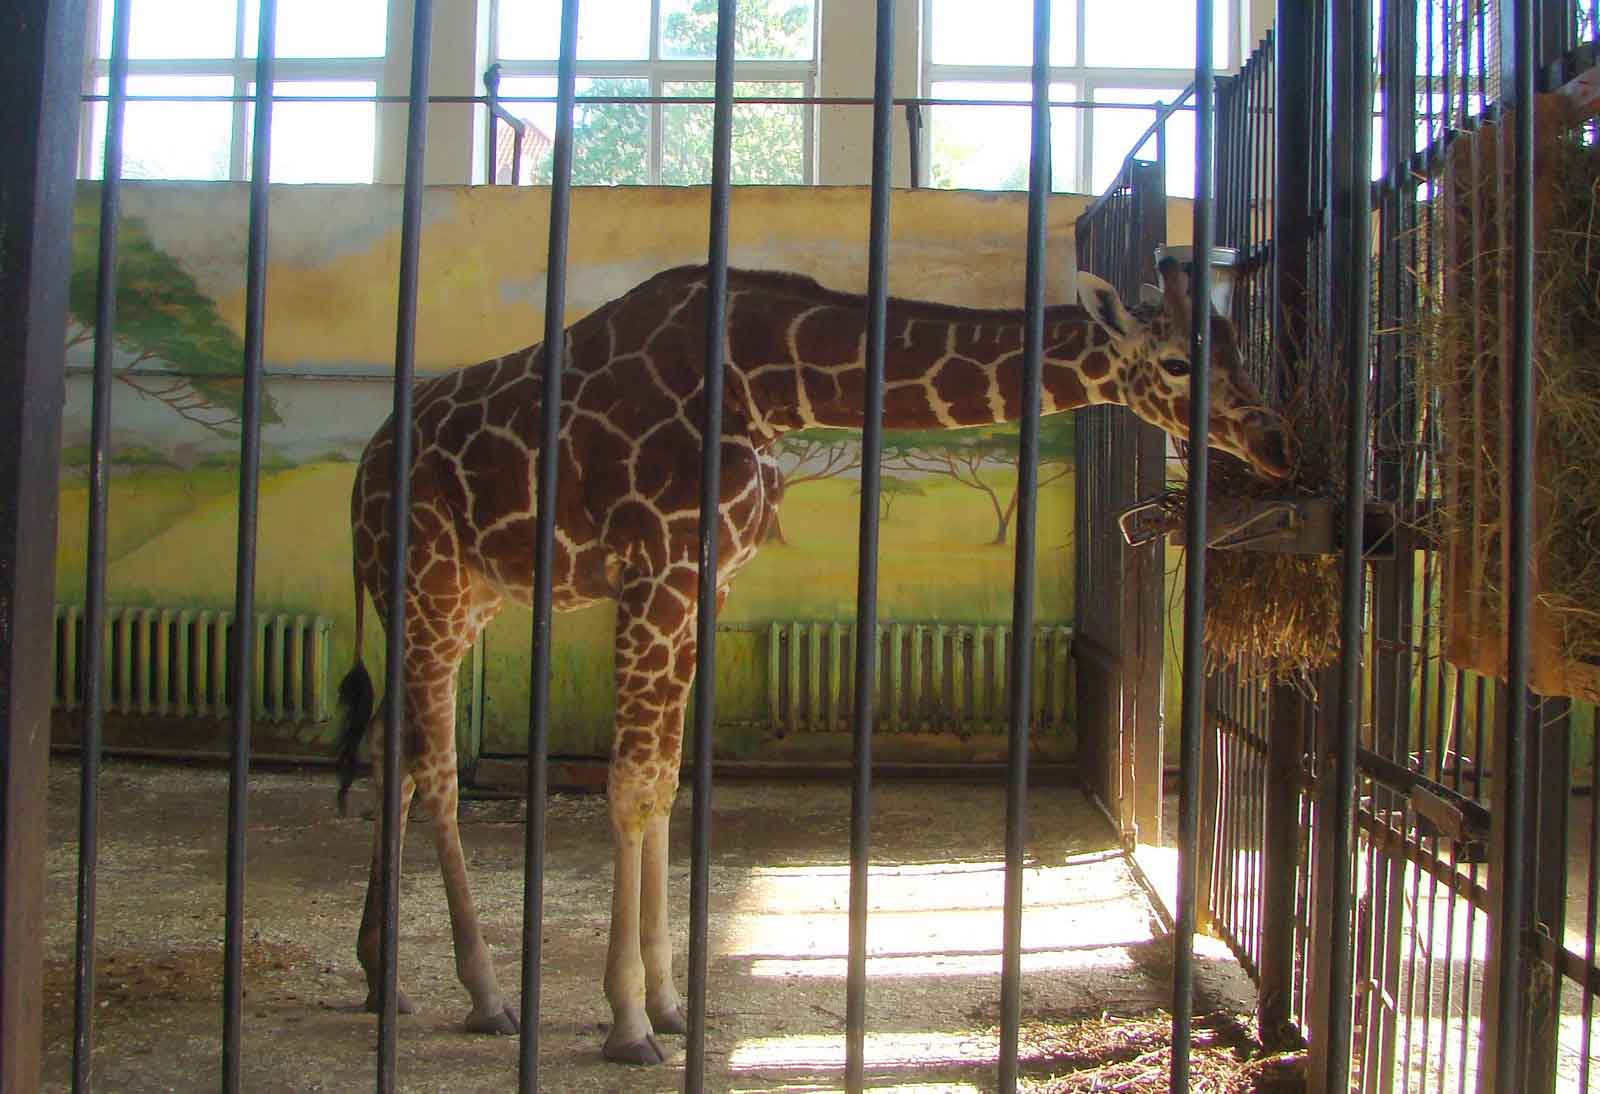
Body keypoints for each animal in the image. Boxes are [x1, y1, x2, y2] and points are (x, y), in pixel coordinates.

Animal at [331, 258, 1293, 1062]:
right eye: (1177, 362)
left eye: (1241, 347)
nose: (1276, 442)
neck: (768, 385)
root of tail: (363, 471)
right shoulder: (657, 574)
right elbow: (632, 784)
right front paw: (629, 1021)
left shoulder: (705, 585)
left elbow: (665, 780)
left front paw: (672, 1002)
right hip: (423, 584)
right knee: (435, 768)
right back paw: (484, 992)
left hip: (467, 599)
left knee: (391, 752)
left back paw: (383, 973)